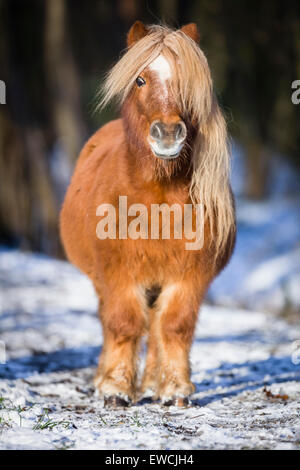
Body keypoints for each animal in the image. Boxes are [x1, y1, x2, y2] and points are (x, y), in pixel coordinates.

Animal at [60, 22, 234, 406]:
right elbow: (123, 324)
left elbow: (174, 326)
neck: (156, 198)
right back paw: (104, 378)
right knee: (110, 322)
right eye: (140, 80)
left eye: (187, 81)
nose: (167, 133)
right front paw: (115, 389)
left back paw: (155, 382)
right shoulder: (119, 274)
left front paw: (175, 389)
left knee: (155, 328)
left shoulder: (189, 276)